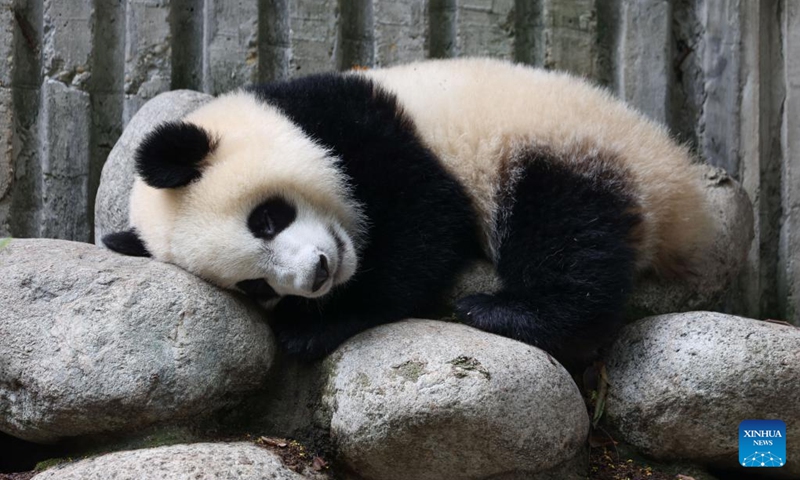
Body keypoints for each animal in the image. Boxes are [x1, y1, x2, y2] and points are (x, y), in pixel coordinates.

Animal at [101, 58, 712, 366]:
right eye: (256, 288)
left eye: (267, 219)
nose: (318, 274)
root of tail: (678, 189)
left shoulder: (362, 127)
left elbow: (426, 223)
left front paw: (319, 327)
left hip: (558, 144)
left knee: (567, 232)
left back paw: (507, 312)